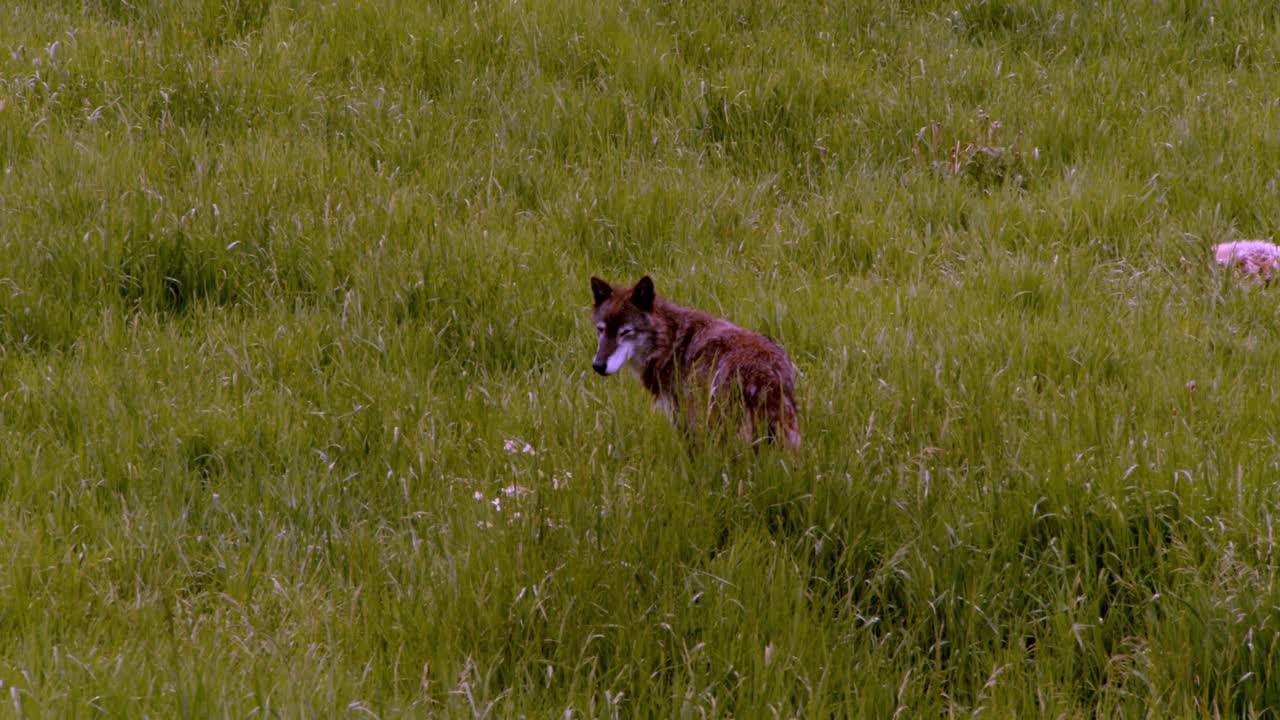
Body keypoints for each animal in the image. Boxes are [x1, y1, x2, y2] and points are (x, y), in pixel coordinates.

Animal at [590, 275, 801, 449]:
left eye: (625, 332)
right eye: (601, 329)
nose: (598, 365)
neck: (669, 342)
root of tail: (768, 374)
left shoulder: (684, 416)